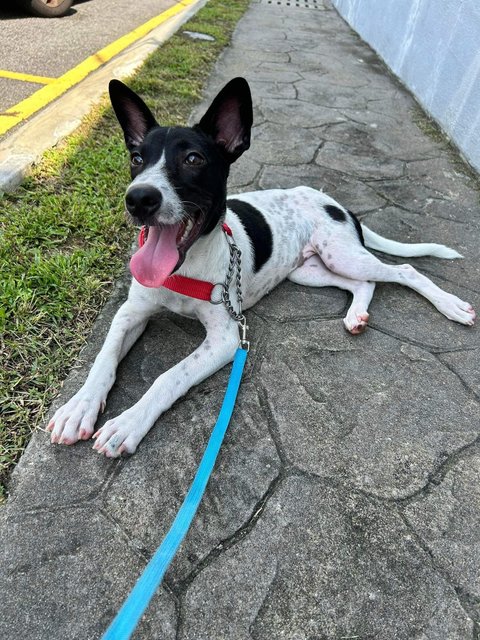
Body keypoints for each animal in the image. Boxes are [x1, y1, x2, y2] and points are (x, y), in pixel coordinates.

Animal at [47, 77, 474, 458]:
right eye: (137, 159)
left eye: (193, 159)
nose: (138, 199)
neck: (184, 269)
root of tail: (334, 202)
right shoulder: (130, 313)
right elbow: (103, 360)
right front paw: (78, 407)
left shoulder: (226, 339)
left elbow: (169, 376)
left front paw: (128, 423)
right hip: (310, 269)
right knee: (363, 284)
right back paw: (356, 316)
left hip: (341, 254)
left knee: (404, 271)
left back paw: (450, 305)